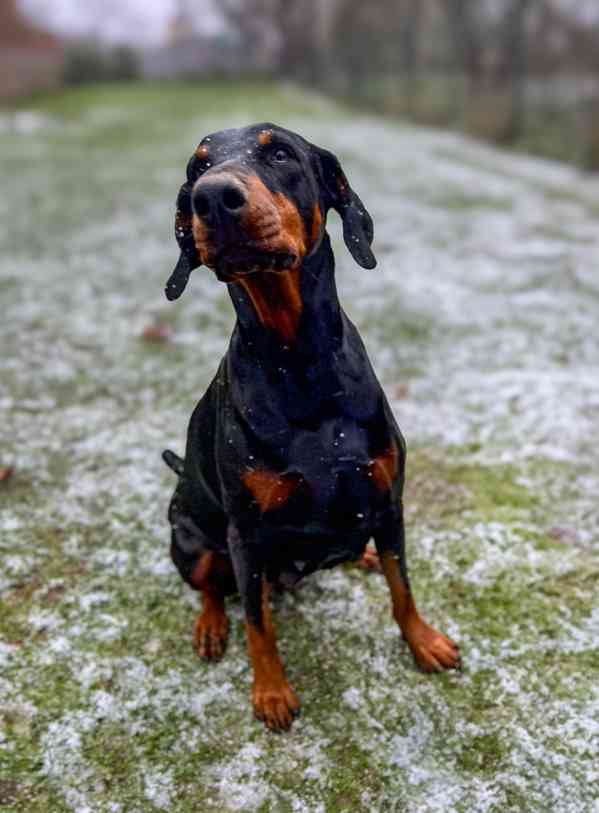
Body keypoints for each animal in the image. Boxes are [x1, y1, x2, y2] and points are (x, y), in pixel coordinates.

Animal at [162, 123, 462, 732]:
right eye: (196, 167)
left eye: (280, 153)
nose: (212, 196)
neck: (298, 361)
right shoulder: (247, 534)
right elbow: (258, 623)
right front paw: (272, 692)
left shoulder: (390, 498)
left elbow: (403, 587)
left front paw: (424, 643)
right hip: (189, 535)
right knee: (210, 584)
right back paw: (210, 626)